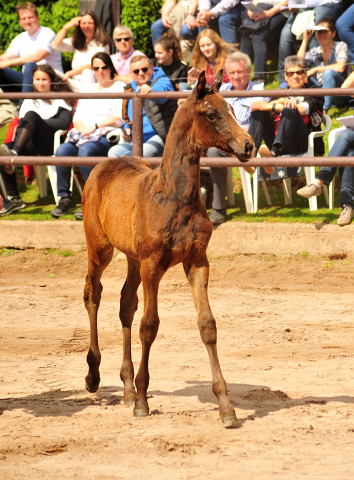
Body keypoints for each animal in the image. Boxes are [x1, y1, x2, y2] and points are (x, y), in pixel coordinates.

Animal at [82, 72, 256, 428]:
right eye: (212, 114)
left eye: (233, 109)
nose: (248, 145)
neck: (174, 197)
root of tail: (100, 167)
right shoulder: (153, 265)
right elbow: (149, 326)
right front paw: (143, 402)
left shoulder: (197, 262)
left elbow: (207, 325)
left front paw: (226, 407)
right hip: (100, 249)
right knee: (93, 293)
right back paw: (94, 377)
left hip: (132, 258)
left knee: (125, 304)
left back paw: (126, 388)